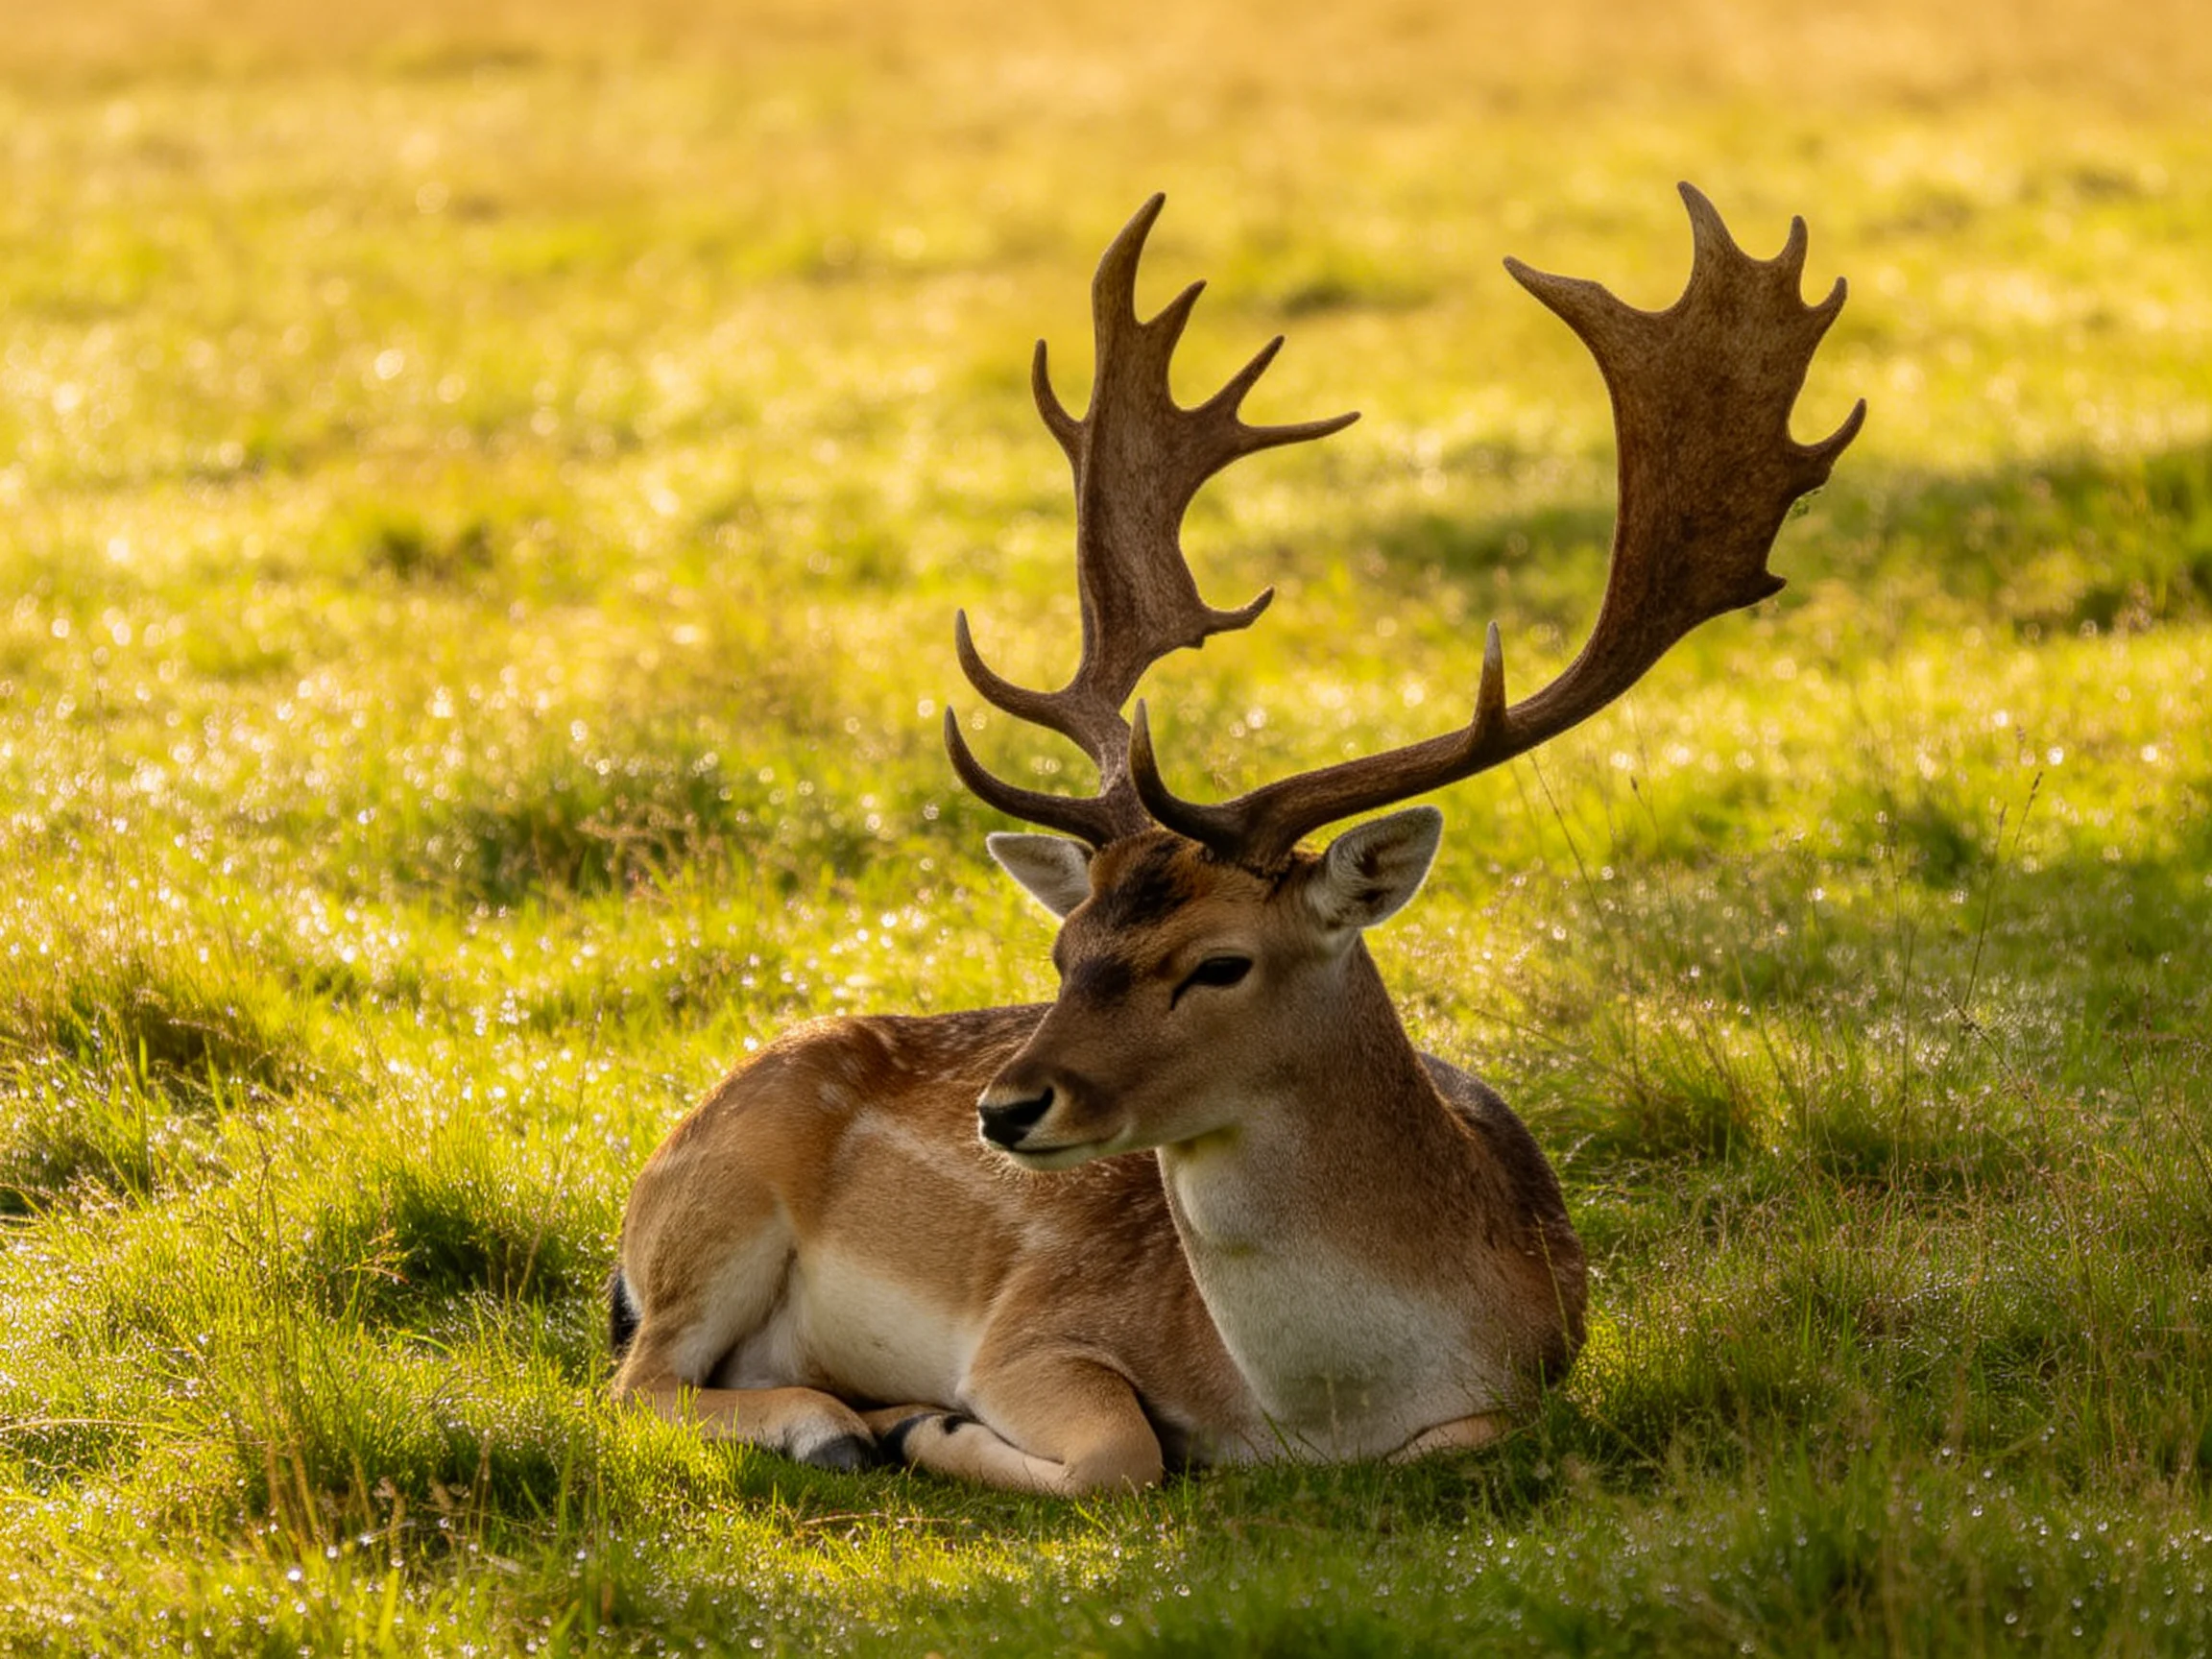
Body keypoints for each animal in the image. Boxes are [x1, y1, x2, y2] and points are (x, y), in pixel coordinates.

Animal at [609, 185, 1863, 1494]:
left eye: (1219, 963)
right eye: (1063, 955)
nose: (1005, 1110)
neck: (1313, 1416)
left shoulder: (1530, 1382)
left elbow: (1455, 1445)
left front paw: (921, 1423)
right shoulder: (1030, 1326)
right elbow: (1123, 1454)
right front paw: (927, 1424)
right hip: (716, 1206)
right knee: (635, 1383)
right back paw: (836, 1423)